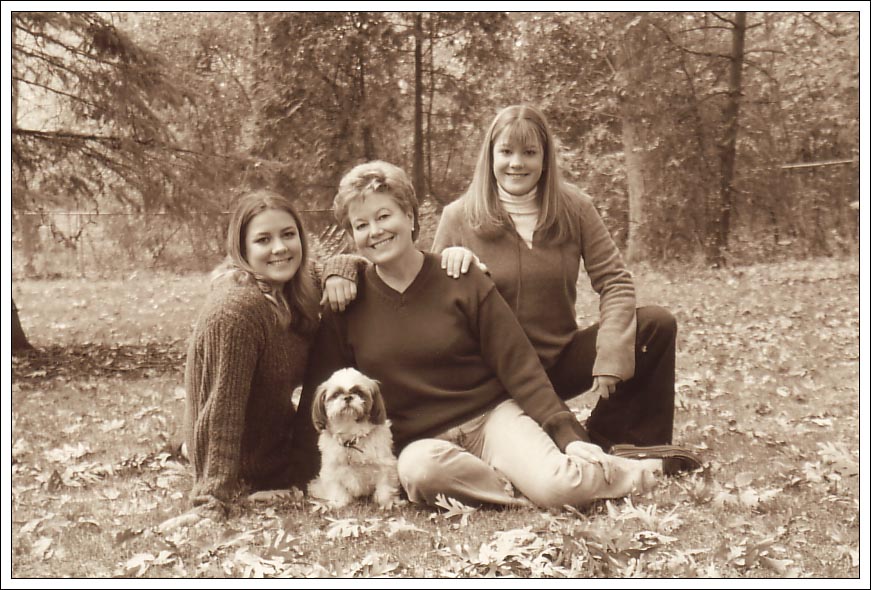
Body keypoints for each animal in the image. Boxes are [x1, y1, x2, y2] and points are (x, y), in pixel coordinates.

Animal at [308, 368, 402, 509]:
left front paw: (386, 503)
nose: (347, 397)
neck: (351, 436)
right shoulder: (332, 469)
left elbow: (385, 487)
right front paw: (339, 503)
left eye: (358, 392)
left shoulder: (385, 466)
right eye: (336, 394)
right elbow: (337, 488)